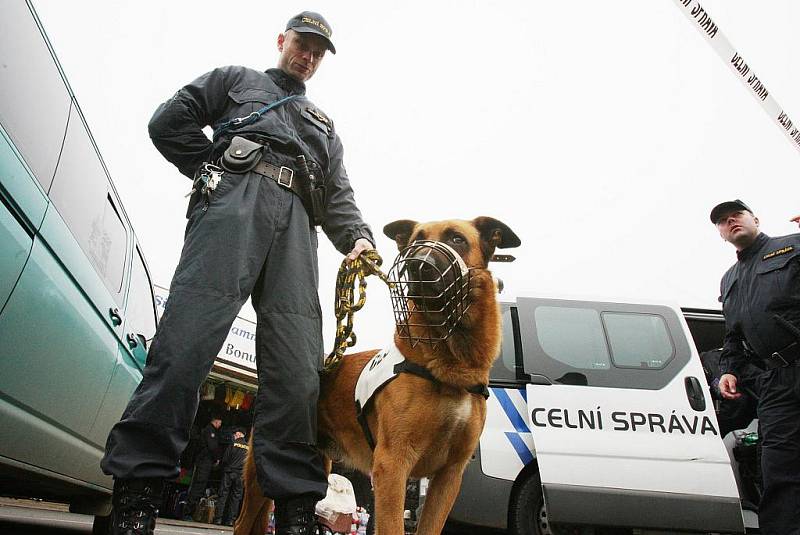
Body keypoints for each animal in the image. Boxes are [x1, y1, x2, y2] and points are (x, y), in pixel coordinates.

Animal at [233, 216, 520, 532]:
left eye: (457, 239)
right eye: (415, 241)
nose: (417, 265)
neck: (449, 364)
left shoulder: (449, 476)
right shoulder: (392, 464)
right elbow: (393, 526)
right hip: (259, 476)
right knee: (242, 522)